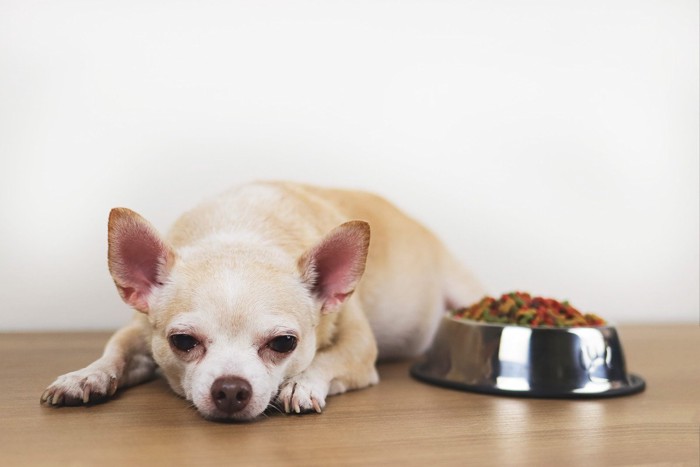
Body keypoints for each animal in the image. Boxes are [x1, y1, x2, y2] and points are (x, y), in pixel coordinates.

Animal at [39, 182, 482, 420]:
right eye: (182, 342)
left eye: (284, 343)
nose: (231, 389)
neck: (242, 231)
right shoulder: (139, 329)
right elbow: (115, 350)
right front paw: (86, 376)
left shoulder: (359, 349)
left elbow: (329, 358)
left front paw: (302, 383)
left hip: (464, 289)